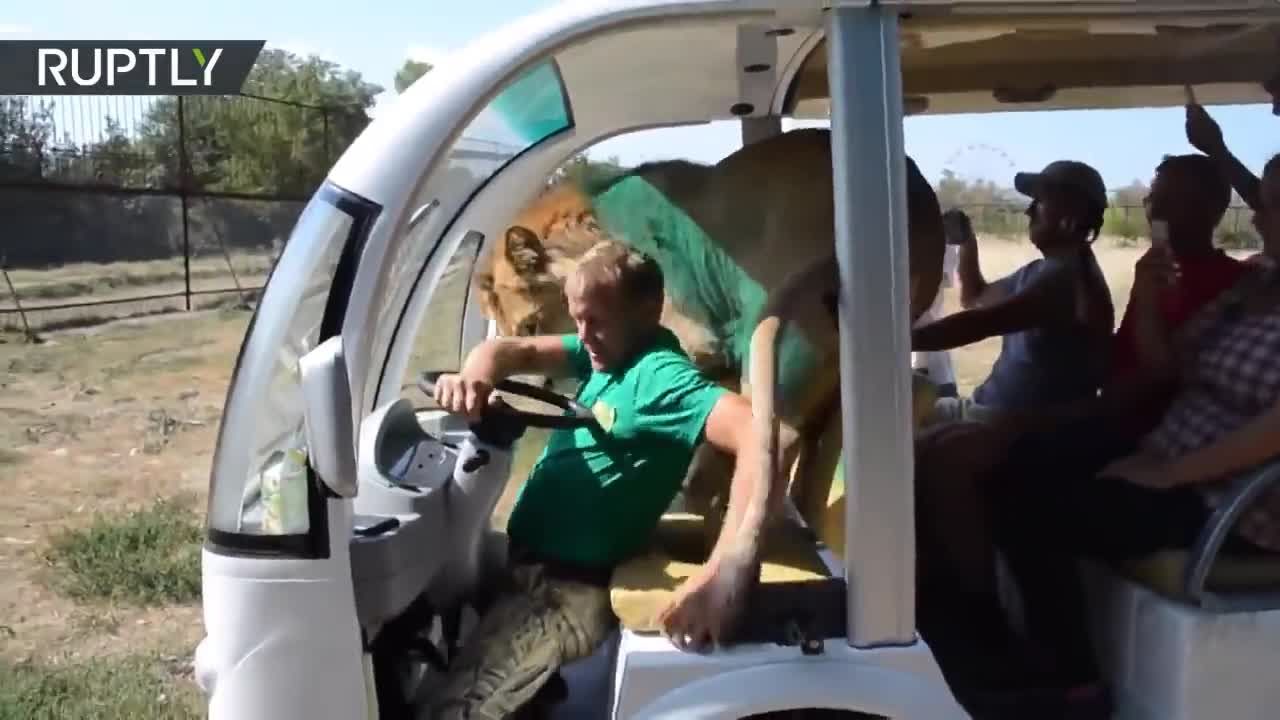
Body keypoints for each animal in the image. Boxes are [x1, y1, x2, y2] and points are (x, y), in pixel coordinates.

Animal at [476, 128, 947, 540]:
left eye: (528, 326)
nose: (510, 401)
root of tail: (920, 204)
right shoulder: (718, 357)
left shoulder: (695, 347)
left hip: (776, 331)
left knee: (776, 437)